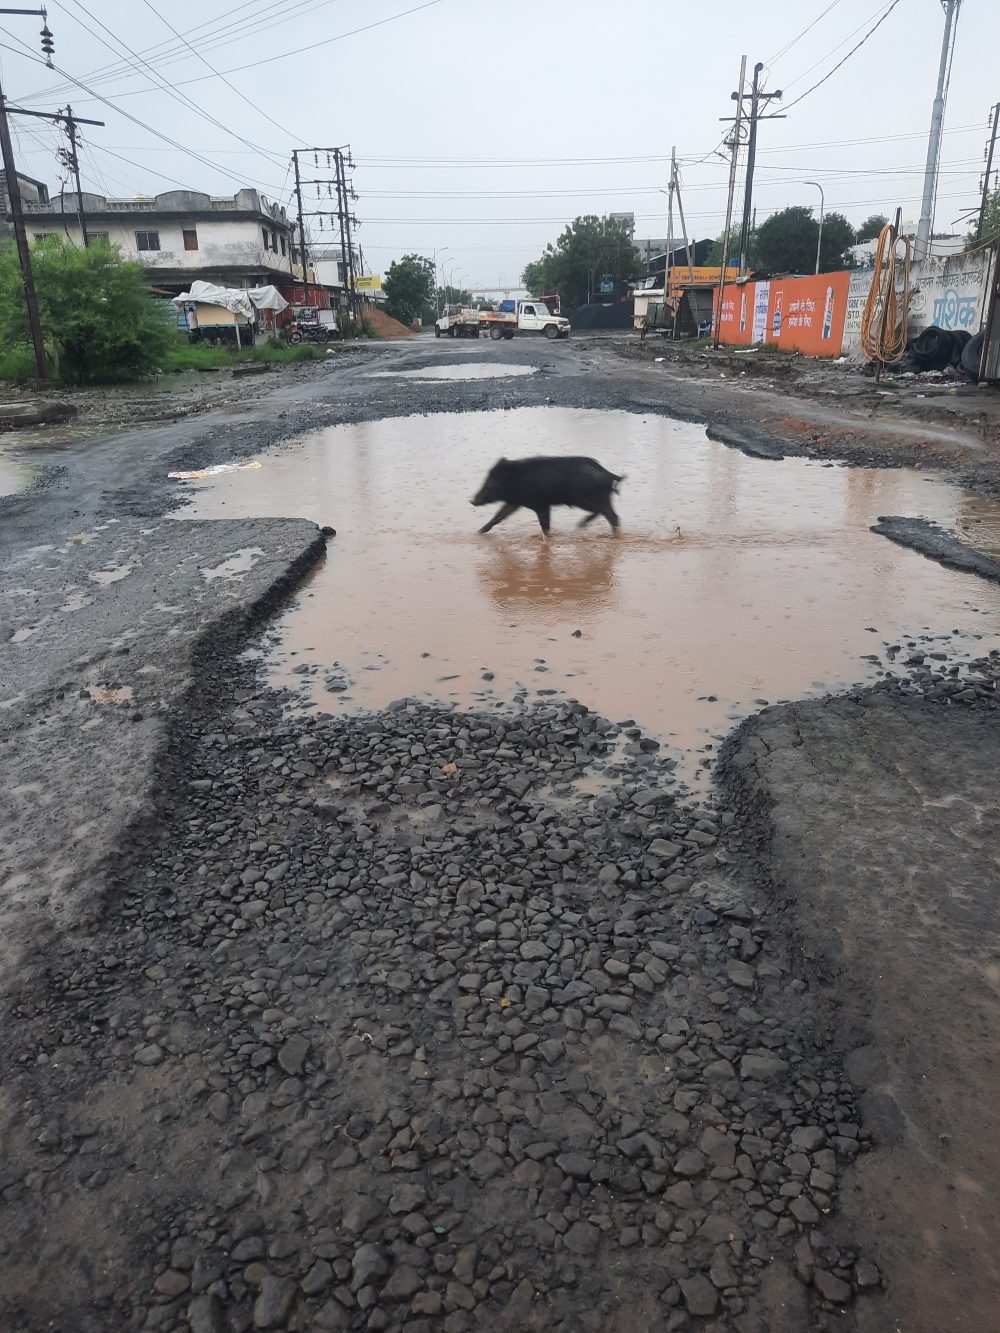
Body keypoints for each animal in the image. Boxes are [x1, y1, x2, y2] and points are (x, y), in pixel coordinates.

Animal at [474, 458, 624, 535]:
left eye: (492, 482)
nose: (472, 500)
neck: (516, 479)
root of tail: (610, 475)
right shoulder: (515, 503)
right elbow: (499, 516)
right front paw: (478, 533)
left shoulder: (541, 505)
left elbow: (545, 525)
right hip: (595, 500)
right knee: (610, 515)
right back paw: (582, 525)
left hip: (586, 500)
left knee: (612, 516)